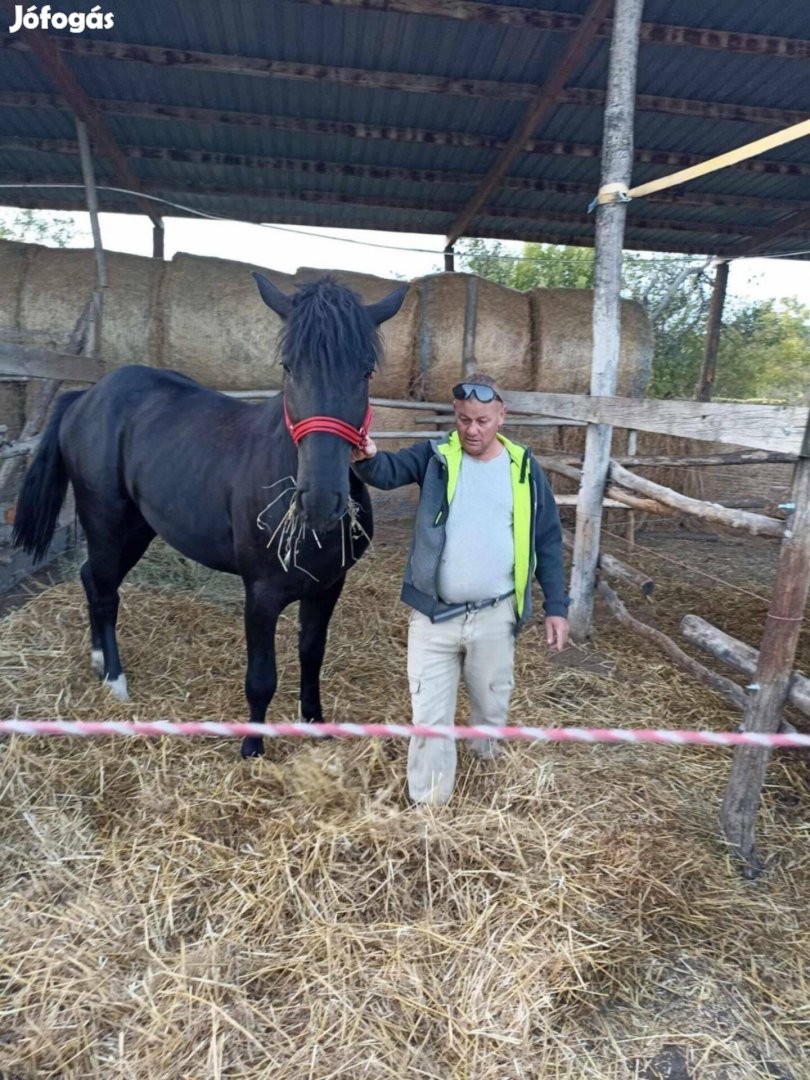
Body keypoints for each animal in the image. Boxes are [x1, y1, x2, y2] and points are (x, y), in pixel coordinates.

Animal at [12, 274, 406, 756]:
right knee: (104, 591)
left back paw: (98, 660)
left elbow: (312, 655)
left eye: (365, 371)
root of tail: (88, 395)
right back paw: (115, 680)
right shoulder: (260, 593)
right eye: (289, 367)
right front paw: (253, 747)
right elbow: (262, 677)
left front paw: (315, 724)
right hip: (104, 522)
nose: (319, 502)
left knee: (93, 579)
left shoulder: (328, 586)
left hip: (137, 529)